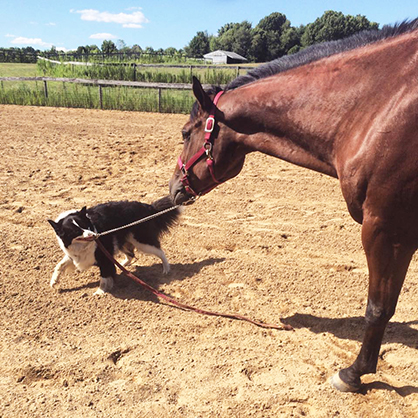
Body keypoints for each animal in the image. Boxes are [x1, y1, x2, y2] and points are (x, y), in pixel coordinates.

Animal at [48, 196, 180, 294]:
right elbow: (60, 265)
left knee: (160, 251)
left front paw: (100, 292)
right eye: (75, 231)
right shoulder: (75, 255)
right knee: (131, 255)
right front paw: (53, 281)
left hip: (142, 242)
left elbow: (105, 276)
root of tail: (147, 207)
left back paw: (166, 269)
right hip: (123, 242)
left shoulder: (104, 257)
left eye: (86, 226)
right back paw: (122, 265)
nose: (94, 235)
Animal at [169, 19, 418, 392]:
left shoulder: (387, 229)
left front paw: (354, 373)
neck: (379, 103)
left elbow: (378, 307)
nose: (174, 188)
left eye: (186, 133)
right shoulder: (403, 235)